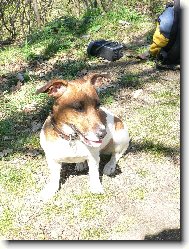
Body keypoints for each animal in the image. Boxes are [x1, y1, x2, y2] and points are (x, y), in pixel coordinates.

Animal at [36, 73, 129, 201]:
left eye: (98, 105)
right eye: (78, 108)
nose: (103, 133)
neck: (71, 138)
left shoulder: (93, 158)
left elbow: (94, 173)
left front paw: (96, 187)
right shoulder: (52, 159)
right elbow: (54, 178)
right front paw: (49, 190)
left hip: (120, 137)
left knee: (117, 154)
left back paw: (110, 166)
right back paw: (80, 164)